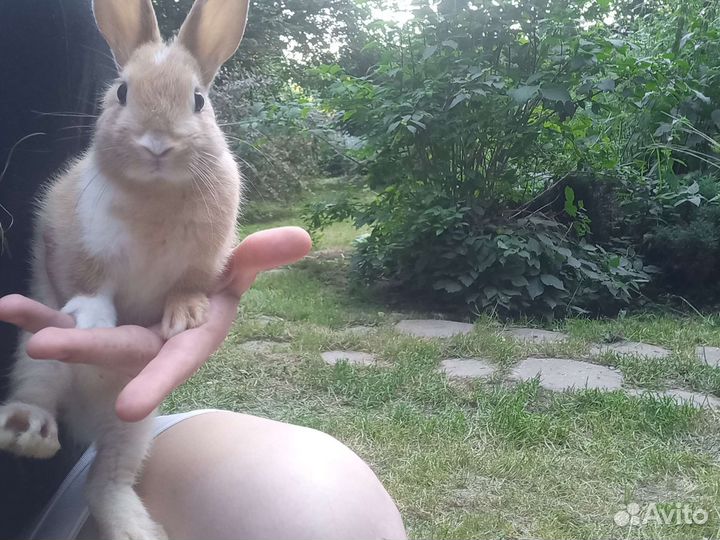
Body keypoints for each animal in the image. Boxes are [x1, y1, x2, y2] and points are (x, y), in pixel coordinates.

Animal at [0, 0, 248, 538]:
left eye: (198, 100)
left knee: (105, 482)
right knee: (38, 398)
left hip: (132, 425)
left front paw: (185, 318)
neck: (154, 193)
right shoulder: (80, 245)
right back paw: (28, 430)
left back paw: (138, 530)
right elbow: (92, 286)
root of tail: (86, 419)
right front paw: (92, 322)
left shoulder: (201, 263)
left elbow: (187, 287)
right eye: (122, 92)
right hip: (39, 359)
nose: (156, 143)